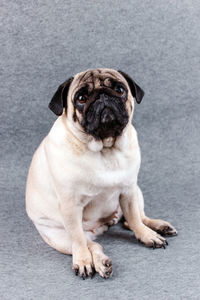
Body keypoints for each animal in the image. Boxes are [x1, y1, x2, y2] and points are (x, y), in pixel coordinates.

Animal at [25, 68, 177, 278]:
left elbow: (134, 218)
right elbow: (79, 240)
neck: (105, 148)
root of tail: (103, 226)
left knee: (136, 219)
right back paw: (99, 262)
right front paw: (83, 261)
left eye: (120, 90)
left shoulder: (128, 190)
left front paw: (146, 235)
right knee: (91, 244)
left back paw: (158, 227)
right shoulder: (70, 206)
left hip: (137, 192)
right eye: (81, 98)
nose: (103, 95)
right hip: (60, 237)